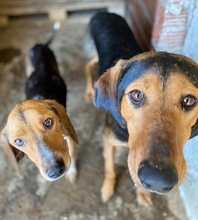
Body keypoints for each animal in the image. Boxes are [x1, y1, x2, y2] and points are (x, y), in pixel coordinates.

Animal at [0, 23, 78, 183]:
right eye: (18, 141)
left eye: (48, 122)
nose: (55, 171)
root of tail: (39, 45)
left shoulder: (68, 136)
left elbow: (72, 153)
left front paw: (72, 172)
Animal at [85, 11, 198, 205]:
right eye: (136, 95)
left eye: (189, 100)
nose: (158, 180)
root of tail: (102, 12)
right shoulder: (108, 139)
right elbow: (109, 168)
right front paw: (107, 188)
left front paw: (142, 193)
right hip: (92, 52)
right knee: (87, 65)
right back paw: (88, 91)